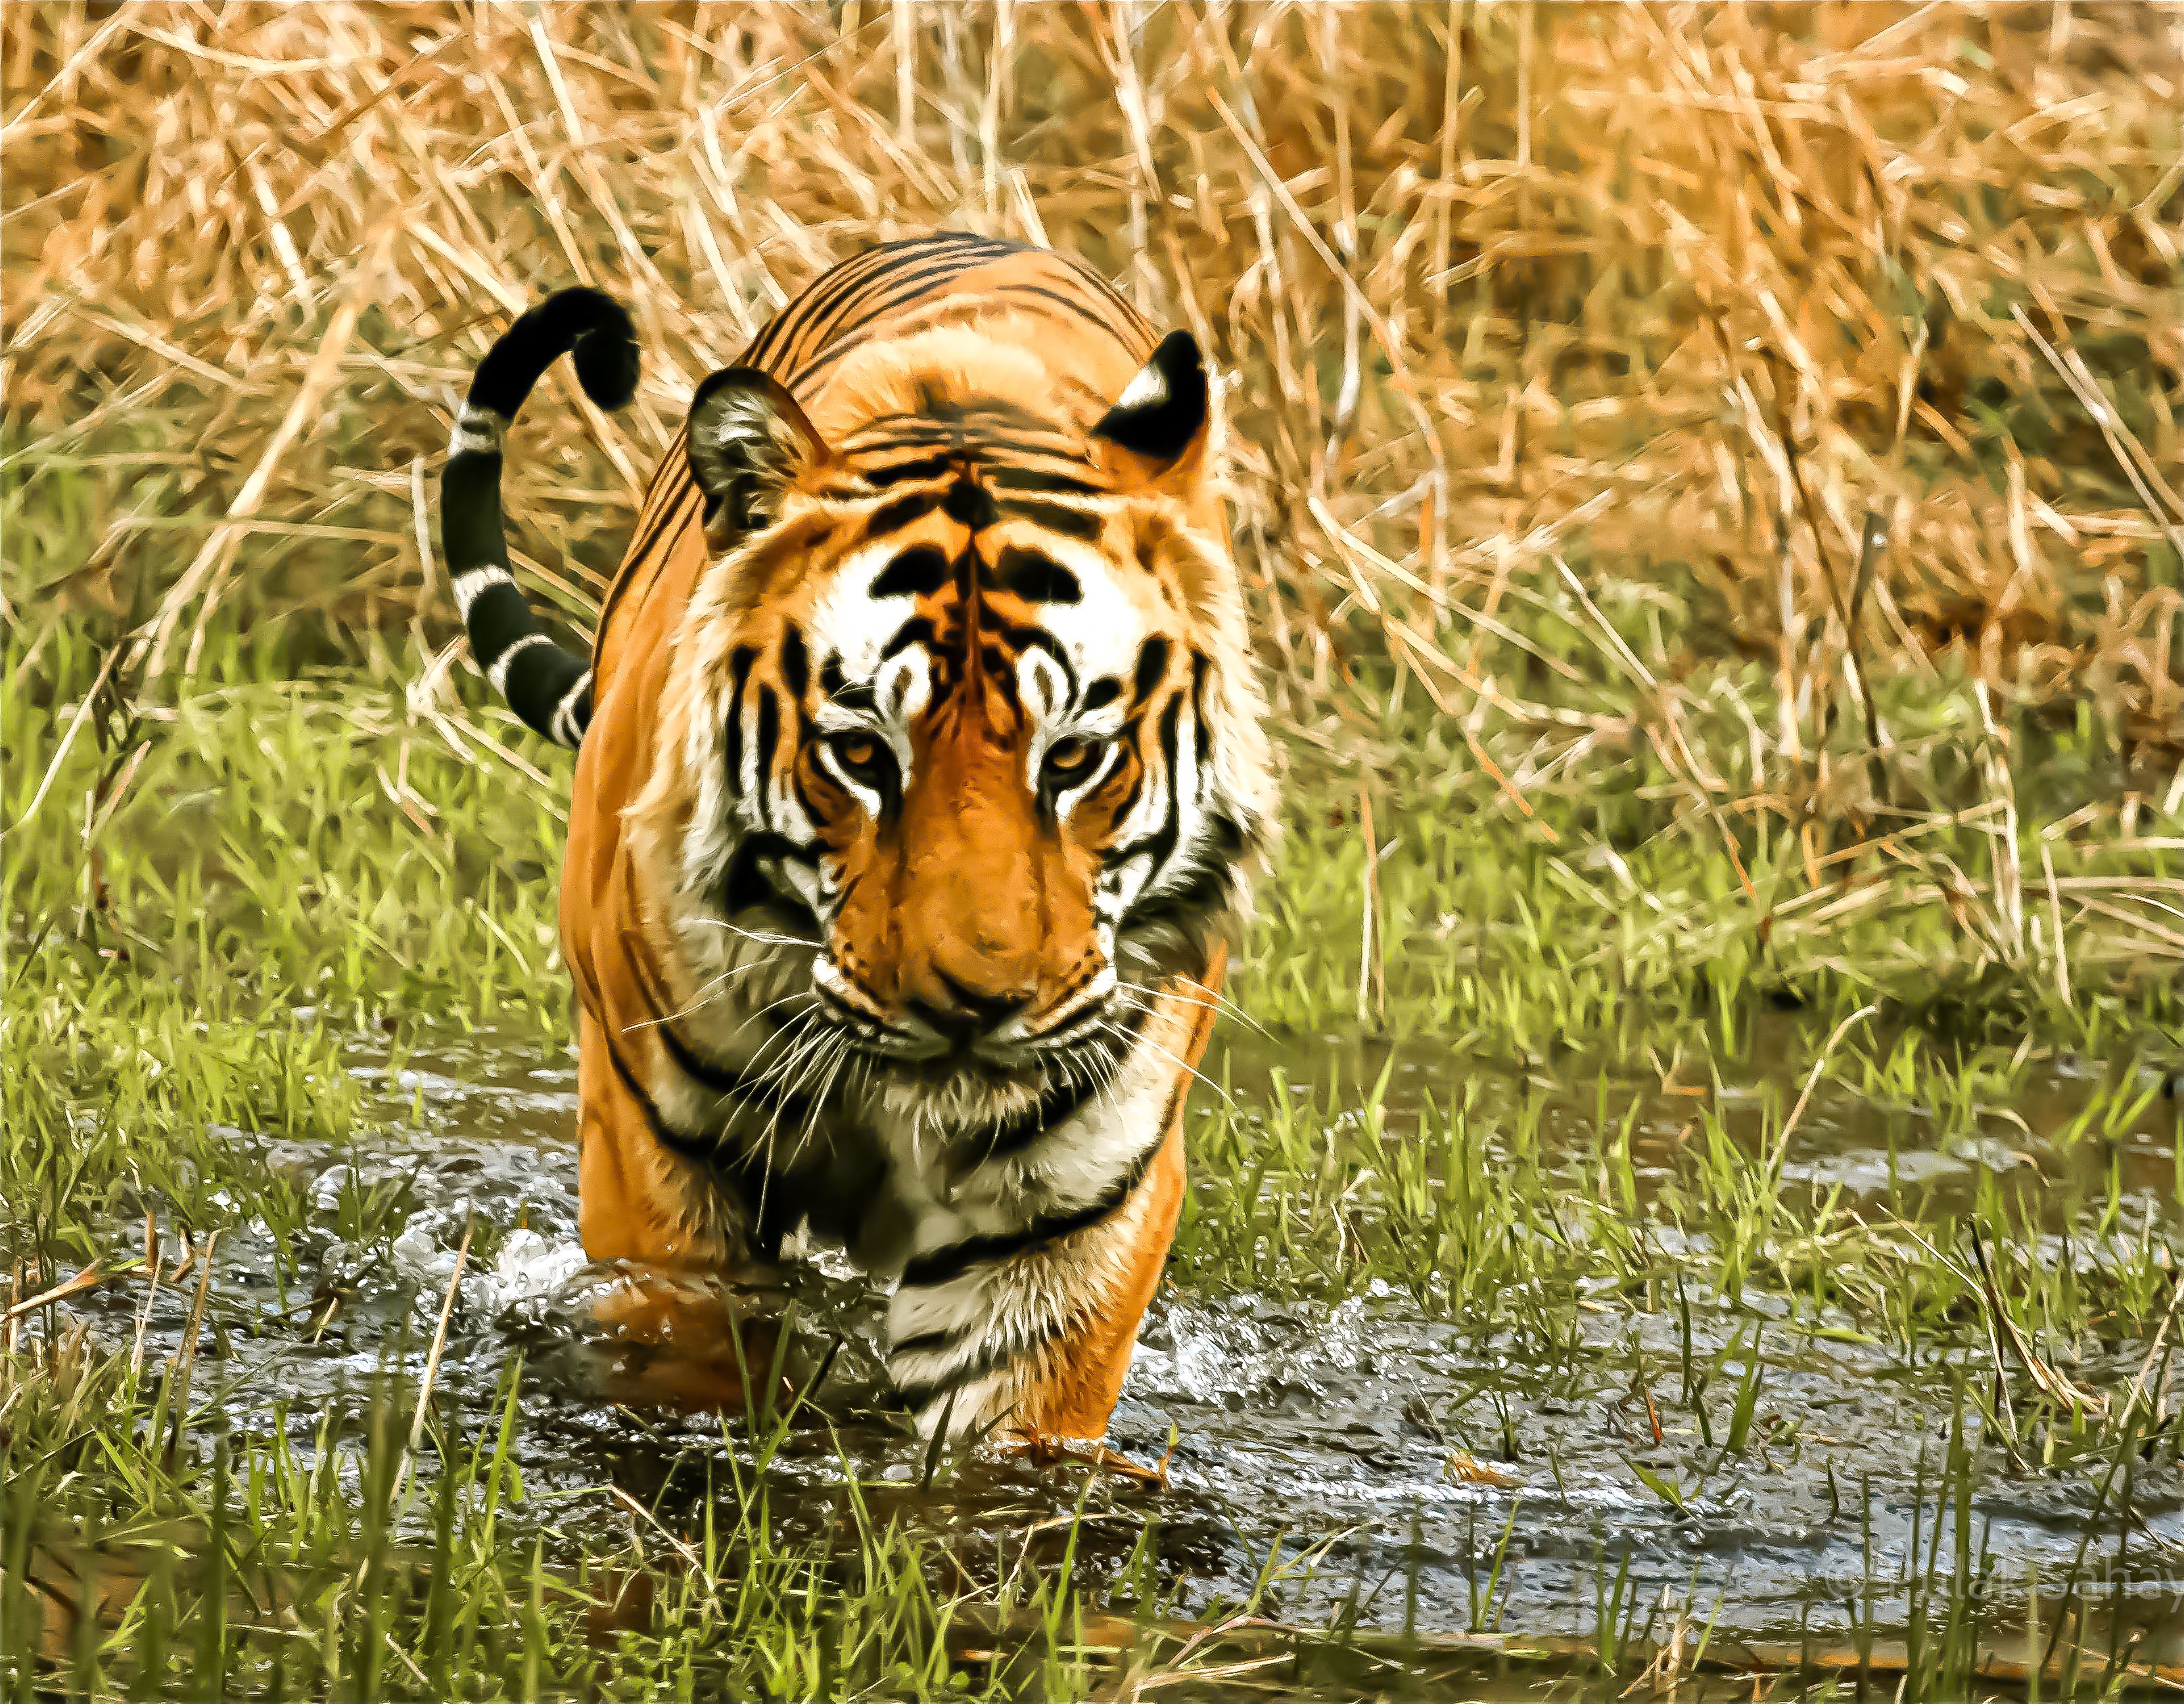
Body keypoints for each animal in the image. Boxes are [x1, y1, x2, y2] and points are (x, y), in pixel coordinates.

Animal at [432, 229, 1275, 1442]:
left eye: (1072, 758)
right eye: (863, 755)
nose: (975, 1006)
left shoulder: (1069, 1216)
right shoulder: (660, 1162)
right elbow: (693, 1353)